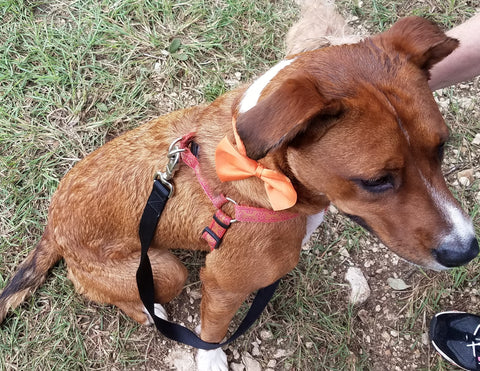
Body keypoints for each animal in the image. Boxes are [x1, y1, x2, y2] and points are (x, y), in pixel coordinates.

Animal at [0, 14, 478, 371]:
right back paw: (149, 310)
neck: (266, 174)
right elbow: (211, 336)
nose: (467, 250)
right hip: (165, 272)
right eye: (376, 180)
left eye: (441, 147)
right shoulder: (221, 284)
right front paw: (210, 359)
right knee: (122, 296)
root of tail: (54, 229)